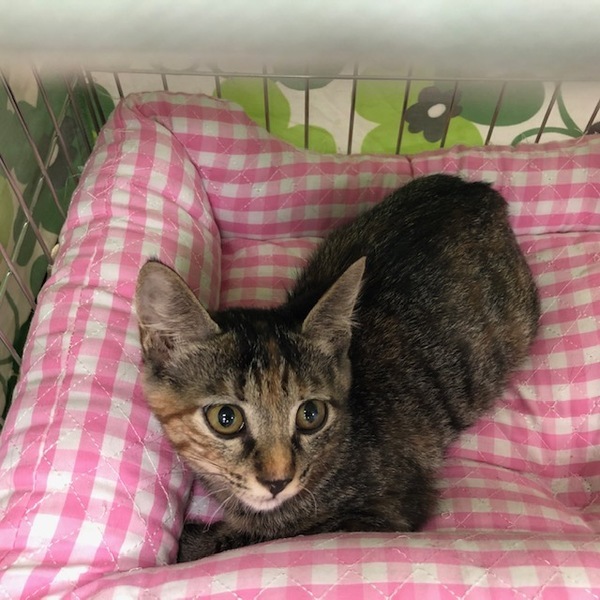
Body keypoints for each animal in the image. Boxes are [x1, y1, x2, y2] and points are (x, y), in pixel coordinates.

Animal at [135, 173, 540, 562]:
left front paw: (192, 543)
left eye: (311, 414)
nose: (278, 481)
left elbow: (270, 534)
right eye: (225, 418)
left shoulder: (385, 511)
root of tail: (476, 191)